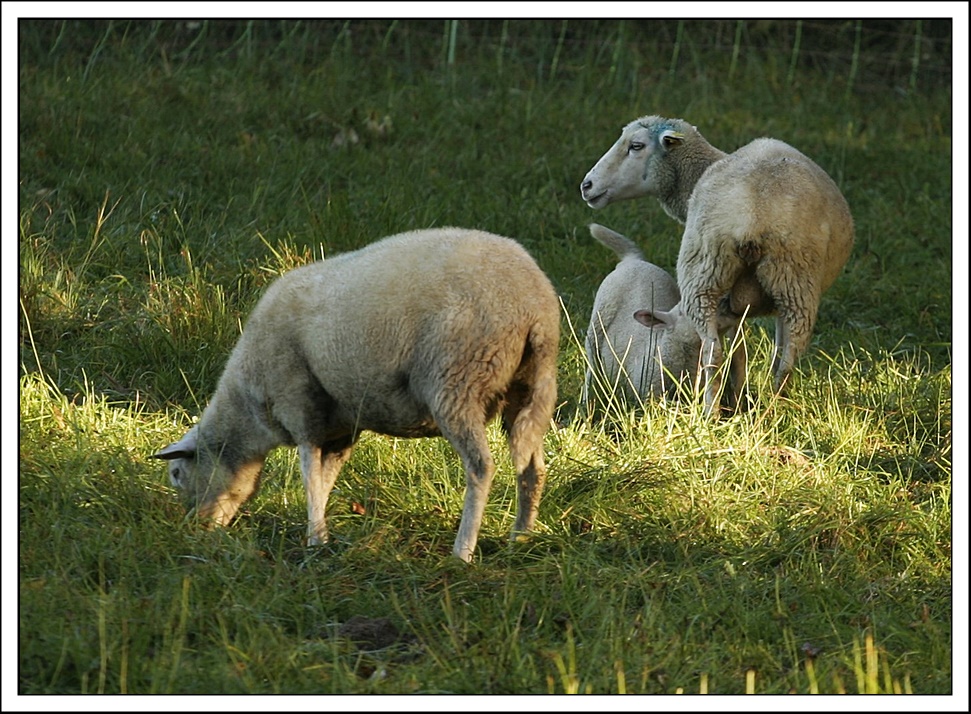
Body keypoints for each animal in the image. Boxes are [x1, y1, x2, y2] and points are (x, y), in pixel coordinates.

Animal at [154, 225, 560, 560]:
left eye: (176, 473)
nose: (195, 530)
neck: (248, 409)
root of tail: (534, 303)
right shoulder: (340, 428)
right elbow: (324, 479)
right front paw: (320, 534)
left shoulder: (299, 406)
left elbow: (308, 476)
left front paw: (314, 539)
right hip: (529, 386)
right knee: (532, 467)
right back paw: (521, 537)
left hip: (458, 380)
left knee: (480, 467)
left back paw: (463, 551)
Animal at [580, 116, 856, 412]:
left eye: (636, 145)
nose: (586, 185)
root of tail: (752, 214)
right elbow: (753, 350)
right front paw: (740, 398)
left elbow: (745, 350)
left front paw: (737, 398)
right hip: (788, 284)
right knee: (784, 359)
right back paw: (768, 408)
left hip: (720, 277)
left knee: (718, 351)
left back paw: (714, 410)